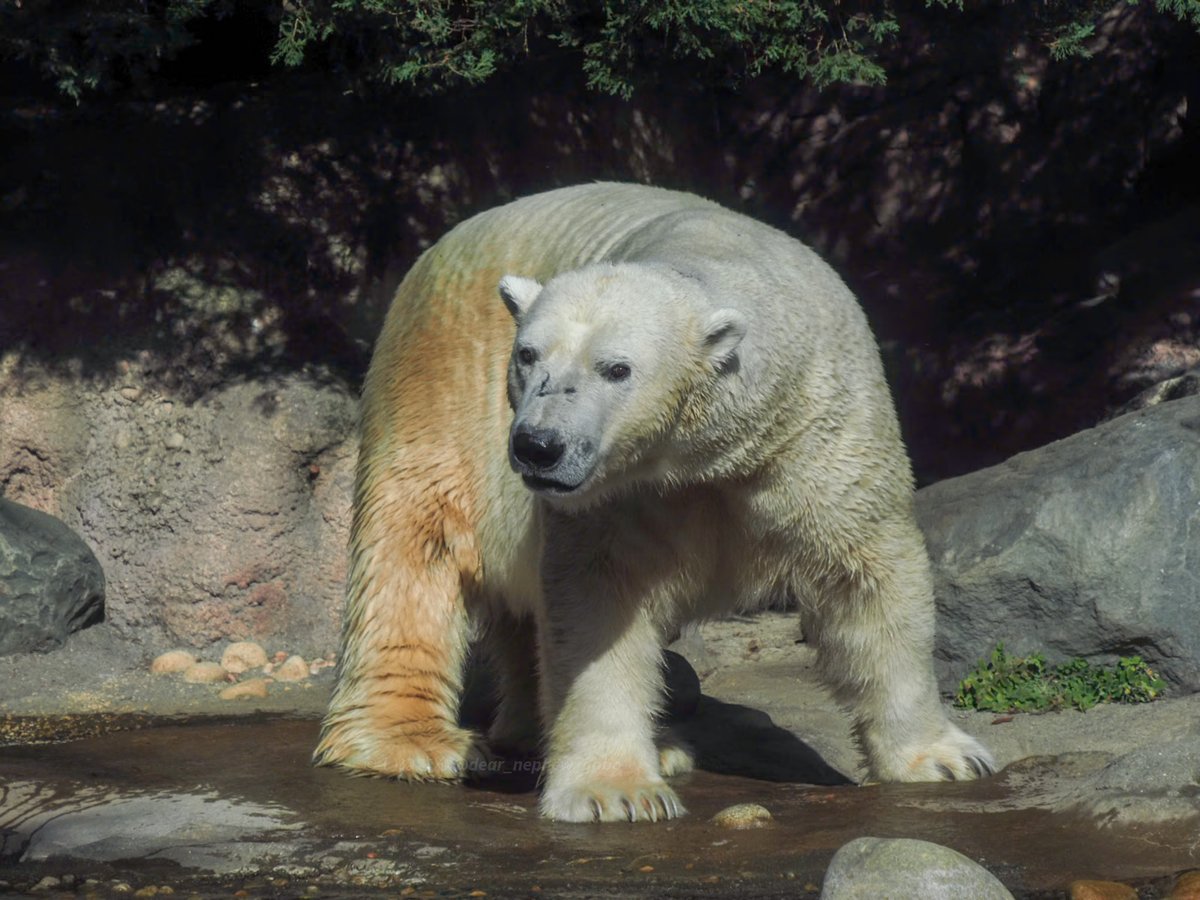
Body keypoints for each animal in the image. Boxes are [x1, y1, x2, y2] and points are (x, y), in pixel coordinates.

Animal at [316, 183, 993, 825]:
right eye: (528, 355)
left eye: (616, 368)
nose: (539, 445)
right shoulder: (619, 493)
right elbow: (599, 602)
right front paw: (613, 793)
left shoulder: (813, 433)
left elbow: (869, 574)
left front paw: (945, 758)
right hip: (439, 384)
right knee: (413, 545)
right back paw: (420, 744)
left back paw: (633, 741)